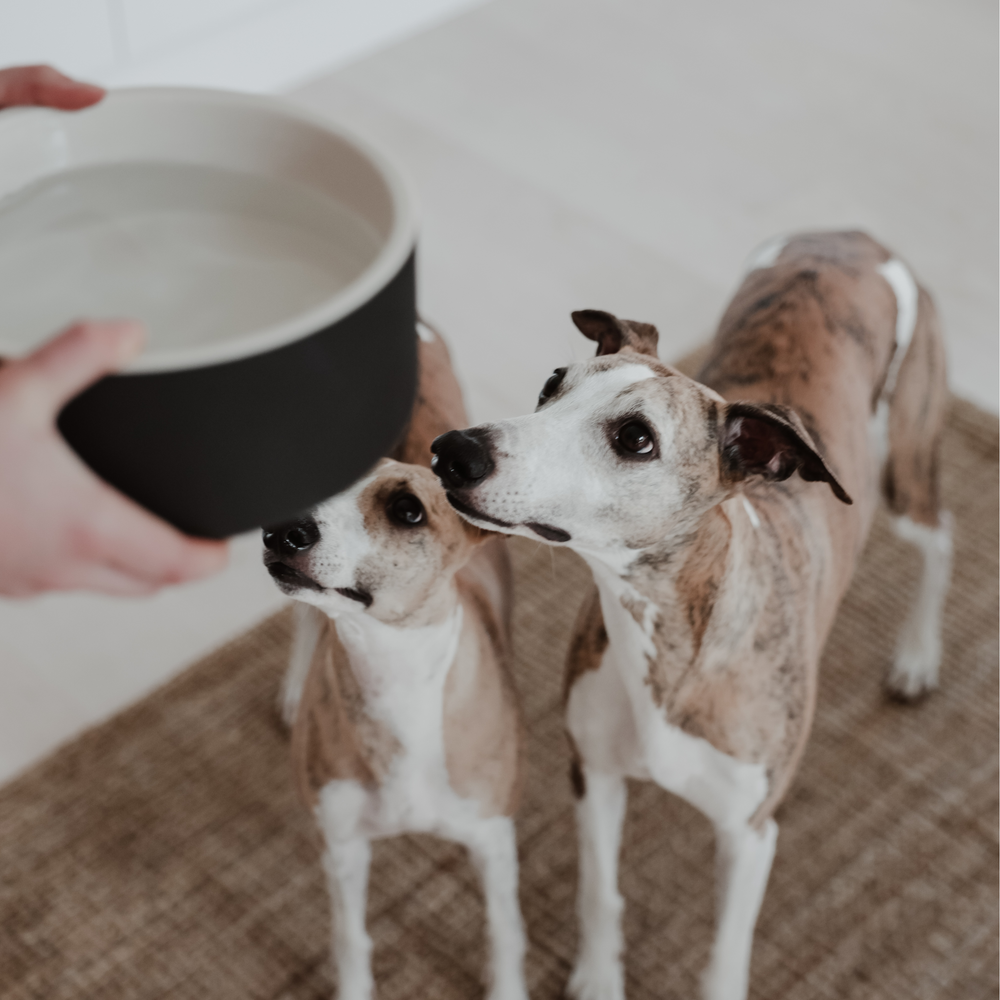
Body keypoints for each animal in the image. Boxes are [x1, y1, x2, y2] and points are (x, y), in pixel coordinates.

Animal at [266, 326, 528, 1000]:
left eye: (409, 510)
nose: (281, 531)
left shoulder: (492, 838)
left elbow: (503, 932)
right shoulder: (342, 845)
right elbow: (350, 940)